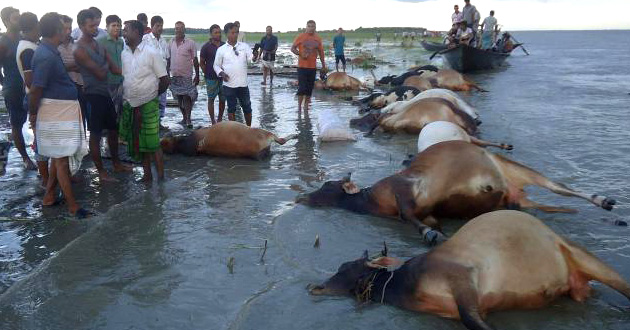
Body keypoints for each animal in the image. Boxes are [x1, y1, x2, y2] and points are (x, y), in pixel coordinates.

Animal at [298, 141, 616, 244]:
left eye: (326, 186)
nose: (302, 197)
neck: (369, 200)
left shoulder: (403, 192)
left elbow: (410, 217)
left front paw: (429, 235)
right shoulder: (428, 212)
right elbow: (425, 221)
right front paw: (434, 233)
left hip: (519, 169)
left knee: (561, 188)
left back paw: (604, 200)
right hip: (516, 200)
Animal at [312, 211, 630, 330]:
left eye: (345, 268)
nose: (316, 287)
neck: (402, 286)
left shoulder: (461, 279)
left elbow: (472, 319)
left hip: (582, 255)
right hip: (577, 288)